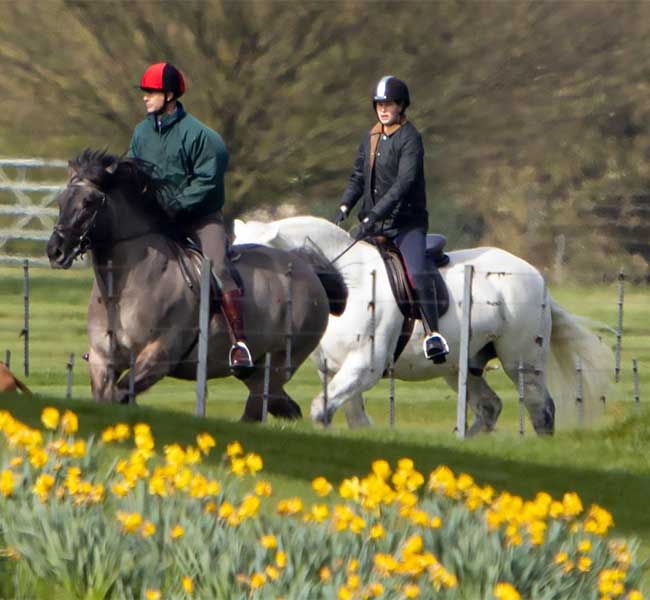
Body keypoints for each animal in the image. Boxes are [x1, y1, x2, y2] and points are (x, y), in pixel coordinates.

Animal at [47, 150, 346, 422]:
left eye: (88, 202)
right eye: (61, 201)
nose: (55, 251)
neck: (121, 292)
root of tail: (311, 273)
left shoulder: (158, 357)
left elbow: (119, 395)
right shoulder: (102, 361)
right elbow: (106, 398)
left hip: (278, 363)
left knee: (259, 406)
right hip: (258, 371)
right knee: (277, 405)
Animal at [234, 218, 612, 434]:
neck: (346, 282)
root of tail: (534, 275)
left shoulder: (364, 367)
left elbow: (320, 410)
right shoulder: (334, 370)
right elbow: (349, 418)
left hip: (521, 361)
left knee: (539, 407)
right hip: (462, 366)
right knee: (490, 407)